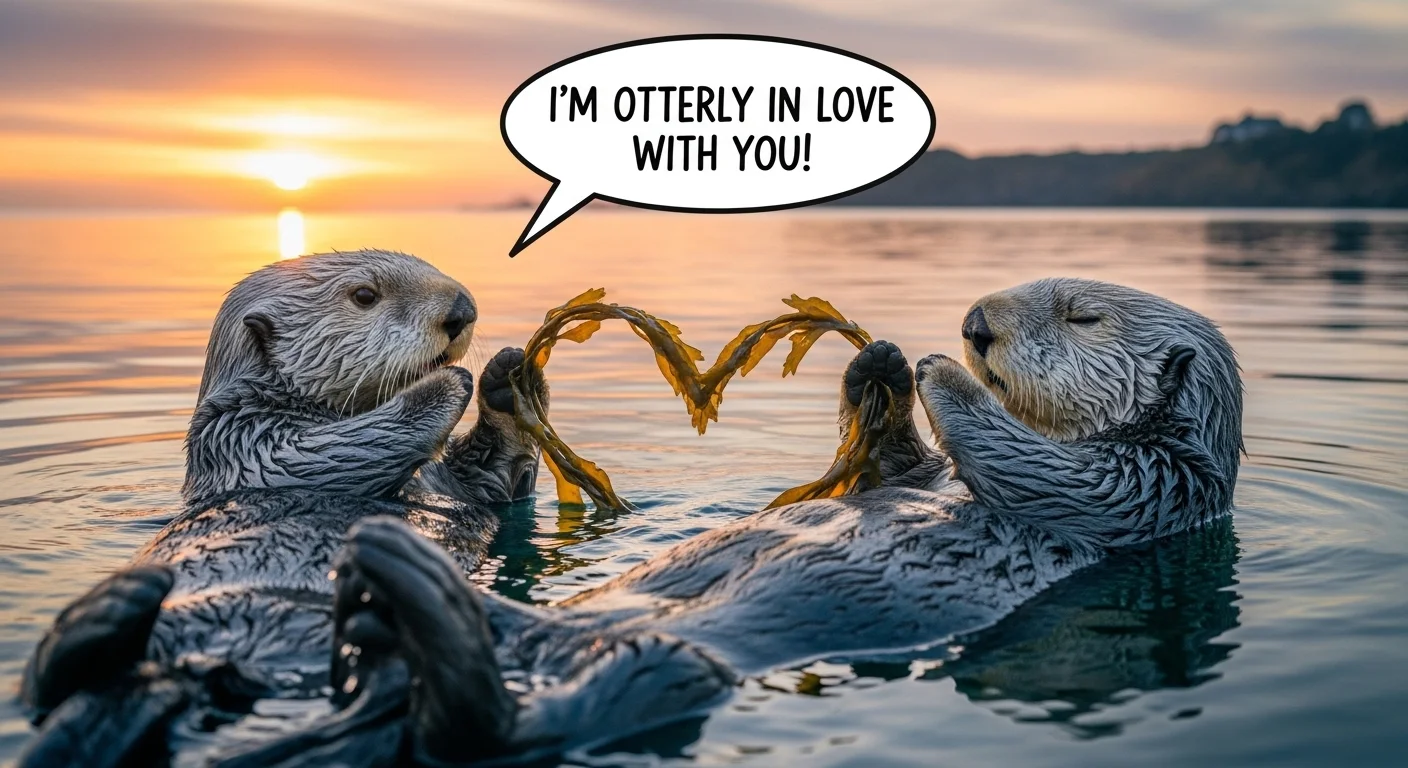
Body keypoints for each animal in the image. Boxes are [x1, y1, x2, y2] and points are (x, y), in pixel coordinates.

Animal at [17, 250, 547, 766]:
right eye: (365, 296)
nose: (462, 310)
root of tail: (197, 670)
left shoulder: (459, 481)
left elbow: (492, 481)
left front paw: (507, 378)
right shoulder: (243, 441)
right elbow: (324, 452)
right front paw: (443, 385)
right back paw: (115, 602)